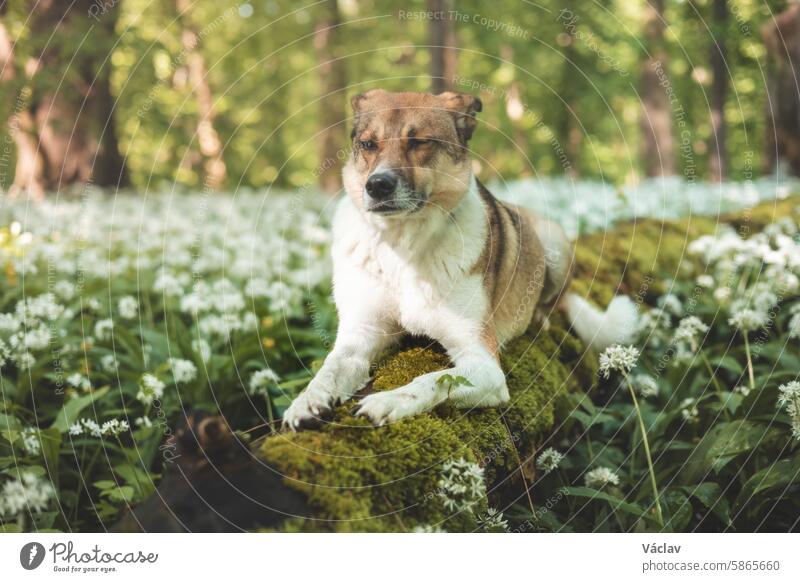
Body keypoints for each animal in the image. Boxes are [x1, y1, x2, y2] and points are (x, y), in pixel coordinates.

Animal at [282, 89, 636, 432]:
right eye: (368, 144)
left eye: (419, 142)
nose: (377, 185)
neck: (402, 244)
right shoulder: (360, 333)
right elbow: (329, 369)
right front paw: (306, 402)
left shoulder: (483, 362)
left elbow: (432, 380)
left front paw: (387, 402)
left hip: (553, 242)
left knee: (556, 300)